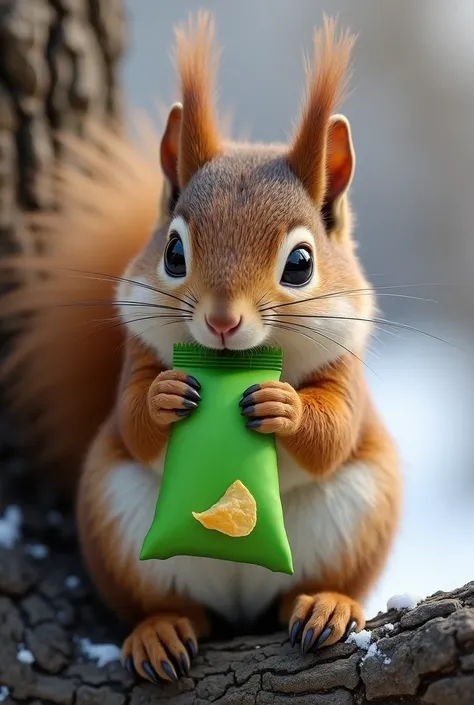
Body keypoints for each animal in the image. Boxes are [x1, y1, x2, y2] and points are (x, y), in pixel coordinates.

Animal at [0, 9, 400, 680]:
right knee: (167, 605)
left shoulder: (347, 367)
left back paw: (326, 604)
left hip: (358, 512)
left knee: (316, 584)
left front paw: (285, 406)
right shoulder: (136, 353)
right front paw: (164, 398)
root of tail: (239, 600)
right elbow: (132, 419)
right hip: (118, 523)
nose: (220, 321)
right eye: (173, 252)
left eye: (300, 263)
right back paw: (161, 631)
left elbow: (335, 430)